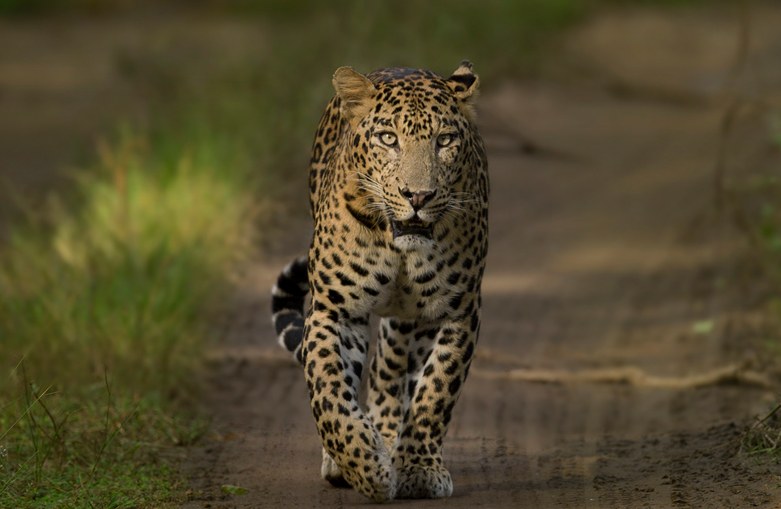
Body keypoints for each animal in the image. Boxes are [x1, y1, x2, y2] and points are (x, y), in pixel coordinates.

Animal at [270, 61, 488, 502]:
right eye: (388, 138)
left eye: (444, 141)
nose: (418, 196)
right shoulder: (334, 310)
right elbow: (329, 391)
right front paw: (363, 465)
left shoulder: (458, 312)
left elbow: (435, 393)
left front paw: (418, 468)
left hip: (409, 322)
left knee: (390, 374)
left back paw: (390, 440)